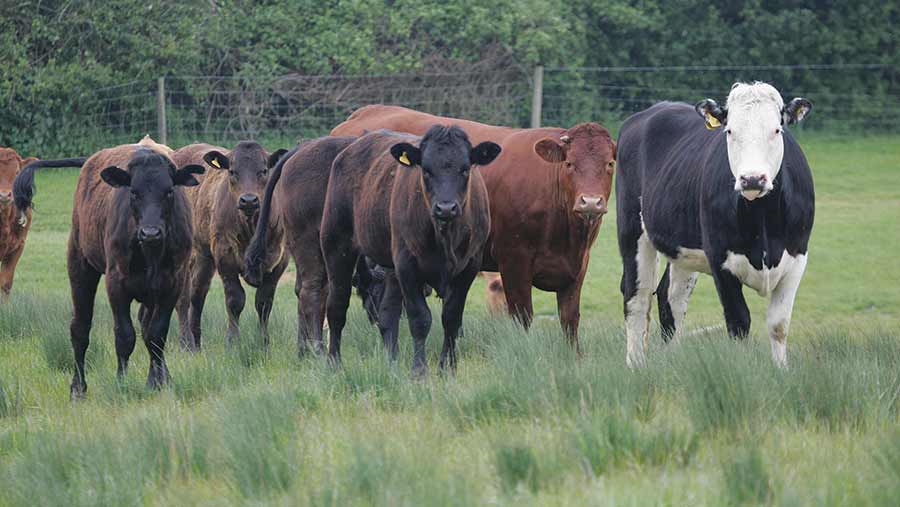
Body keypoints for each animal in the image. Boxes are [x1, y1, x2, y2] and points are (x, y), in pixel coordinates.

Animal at [15, 137, 204, 398]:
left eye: (169, 191)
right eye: (133, 192)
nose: (151, 232)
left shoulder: (173, 282)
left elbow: (156, 335)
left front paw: (158, 383)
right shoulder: (116, 282)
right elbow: (124, 336)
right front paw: (121, 384)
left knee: (146, 326)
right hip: (79, 263)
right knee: (80, 328)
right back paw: (78, 388)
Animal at [172, 142, 287, 350]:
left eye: (264, 170)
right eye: (232, 172)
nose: (248, 200)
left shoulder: (280, 259)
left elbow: (264, 302)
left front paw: (264, 343)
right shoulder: (224, 255)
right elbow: (235, 299)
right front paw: (232, 342)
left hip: (204, 258)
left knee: (197, 294)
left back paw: (196, 342)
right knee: (183, 298)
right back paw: (186, 343)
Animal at [319, 126, 501, 374]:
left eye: (465, 169)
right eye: (426, 169)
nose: (446, 208)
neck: (445, 236)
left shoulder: (469, 267)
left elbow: (452, 318)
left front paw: (447, 368)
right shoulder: (408, 265)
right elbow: (420, 319)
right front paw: (419, 370)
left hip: (389, 268)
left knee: (387, 314)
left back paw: (392, 363)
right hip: (337, 246)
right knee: (337, 306)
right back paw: (334, 363)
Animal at [332, 106, 616, 352]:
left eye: (610, 163)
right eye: (569, 164)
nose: (590, 202)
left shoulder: (577, 266)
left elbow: (570, 319)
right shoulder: (514, 261)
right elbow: (522, 316)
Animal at [616, 82, 814, 368]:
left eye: (777, 130)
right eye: (730, 131)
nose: (752, 179)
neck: (763, 220)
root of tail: (653, 110)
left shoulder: (797, 257)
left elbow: (778, 324)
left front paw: (780, 370)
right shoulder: (720, 260)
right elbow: (738, 322)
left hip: (683, 250)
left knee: (671, 298)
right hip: (632, 230)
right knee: (637, 296)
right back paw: (635, 364)